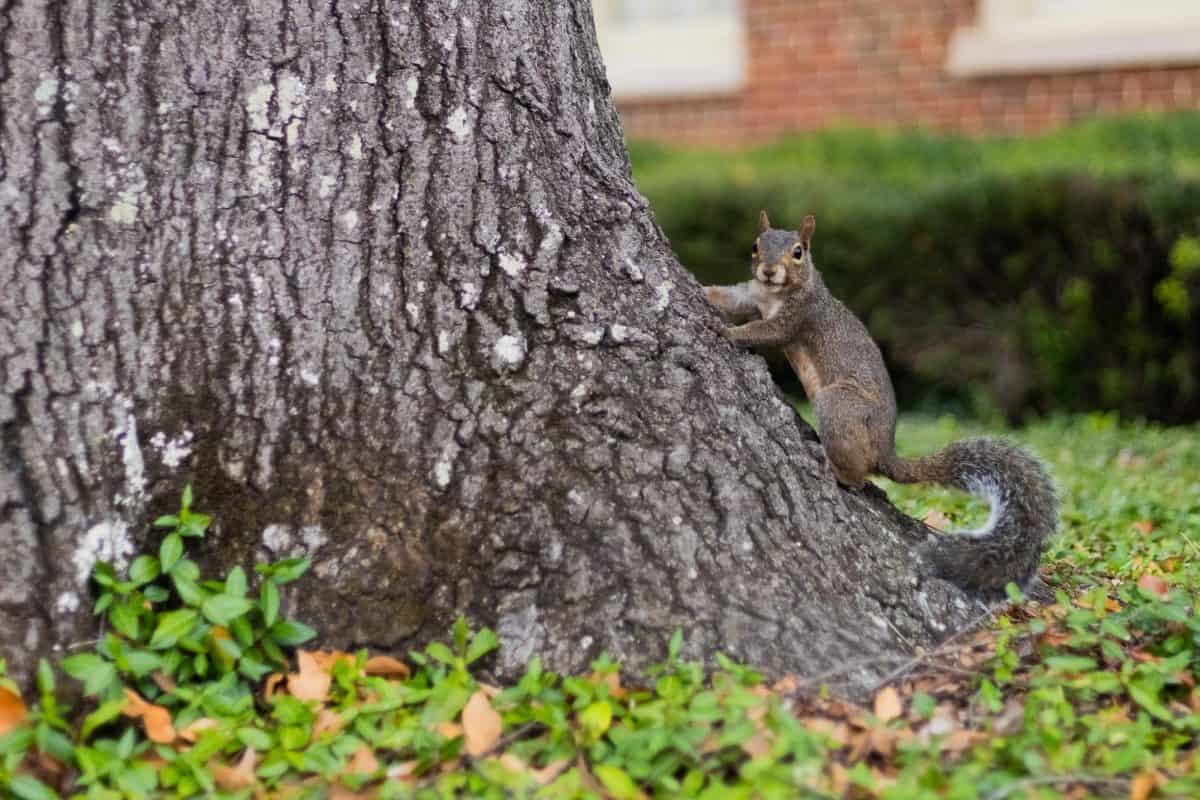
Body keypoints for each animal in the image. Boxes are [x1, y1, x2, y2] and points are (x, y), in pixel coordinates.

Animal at [705, 212, 1056, 594]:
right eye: (756, 246)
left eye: (798, 252)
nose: (769, 271)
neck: (775, 293)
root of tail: (884, 451)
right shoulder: (751, 295)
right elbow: (731, 296)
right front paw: (706, 293)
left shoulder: (798, 317)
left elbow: (765, 331)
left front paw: (728, 332)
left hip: (840, 406)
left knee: (857, 477)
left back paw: (831, 466)